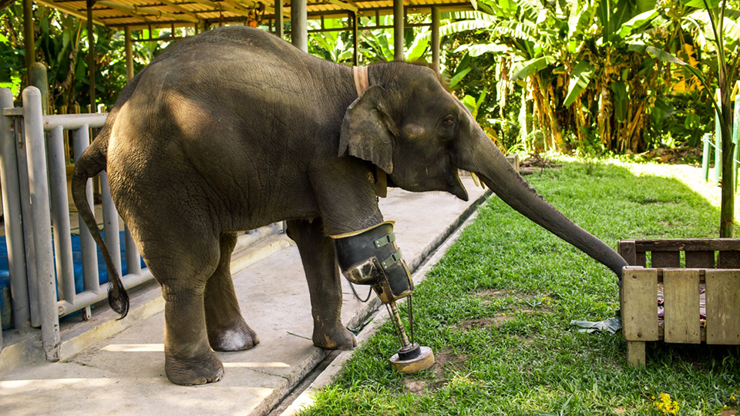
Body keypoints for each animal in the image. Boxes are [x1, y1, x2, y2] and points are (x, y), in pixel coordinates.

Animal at [69, 26, 628, 386]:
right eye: (449, 123)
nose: (620, 305)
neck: (358, 79)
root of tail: (109, 122)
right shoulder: (330, 157)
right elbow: (359, 240)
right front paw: (387, 310)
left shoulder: (316, 164)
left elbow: (318, 240)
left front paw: (342, 347)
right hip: (158, 174)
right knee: (194, 263)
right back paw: (203, 377)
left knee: (221, 253)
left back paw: (237, 346)